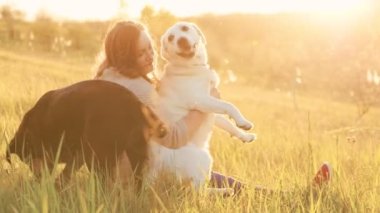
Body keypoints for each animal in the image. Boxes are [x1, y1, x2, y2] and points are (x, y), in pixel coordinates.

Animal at [6, 79, 166, 186]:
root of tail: (136, 105)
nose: (37, 180)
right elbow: (66, 174)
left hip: (97, 156)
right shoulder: (77, 156)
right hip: (136, 155)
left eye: (26, 158)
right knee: (138, 181)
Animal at [150, 22, 256, 188]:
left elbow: (227, 122)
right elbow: (229, 106)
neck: (191, 67)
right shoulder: (201, 100)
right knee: (198, 191)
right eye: (171, 38)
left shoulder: (210, 112)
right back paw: (226, 191)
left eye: (184, 28)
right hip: (204, 158)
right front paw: (241, 121)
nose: (181, 40)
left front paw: (244, 133)